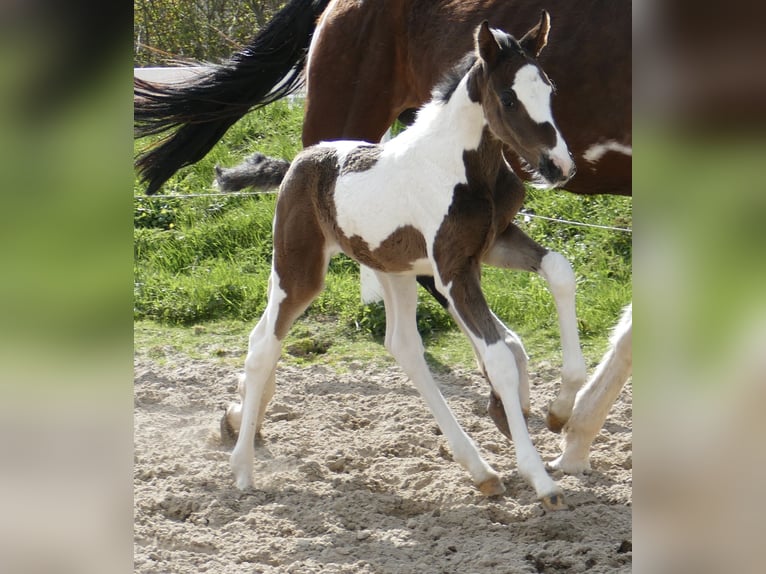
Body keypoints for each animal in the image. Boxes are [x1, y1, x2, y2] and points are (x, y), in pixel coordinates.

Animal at [225, 18, 580, 510]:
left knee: (401, 345)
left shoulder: (493, 243)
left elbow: (558, 273)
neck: (464, 167)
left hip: (396, 271)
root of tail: (298, 161)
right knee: (265, 344)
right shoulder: (453, 270)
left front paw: (557, 408)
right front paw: (541, 478)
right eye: (508, 98)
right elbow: (499, 357)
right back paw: (242, 469)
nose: (559, 166)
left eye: (549, 88)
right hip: (299, 268)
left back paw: (481, 471)